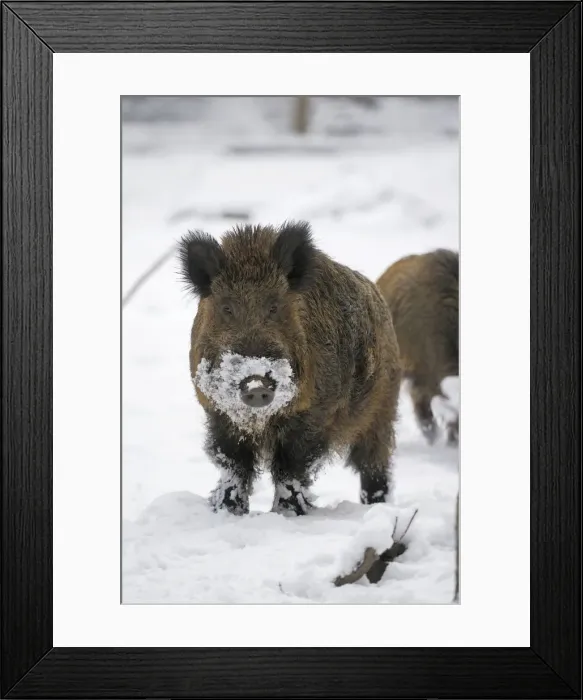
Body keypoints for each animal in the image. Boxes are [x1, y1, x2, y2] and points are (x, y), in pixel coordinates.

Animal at [178, 221, 401, 516]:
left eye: (274, 306)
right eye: (227, 307)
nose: (256, 383)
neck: (260, 420)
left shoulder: (314, 413)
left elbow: (290, 466)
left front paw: (288, 513)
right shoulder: (217, 412)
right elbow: (232, 462)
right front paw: (227, 510)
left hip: (382, 409)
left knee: (374, 463)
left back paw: (376, 506)